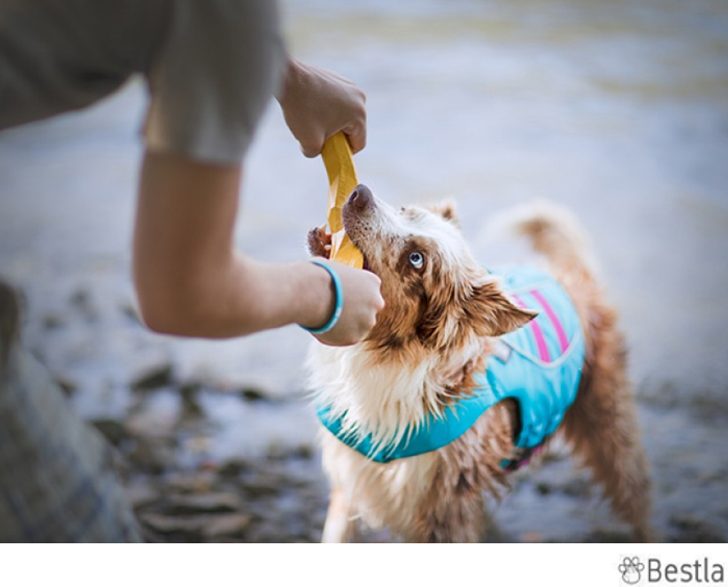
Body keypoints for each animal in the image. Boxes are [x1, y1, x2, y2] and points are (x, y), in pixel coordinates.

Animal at [304, 186, 652, 544]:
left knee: (635, 491)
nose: (360, 193)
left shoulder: (445, 508)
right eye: (405, 210)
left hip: (609, 422)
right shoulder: (349, 481)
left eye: (417, 259)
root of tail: (568, 273)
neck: (388, 357)